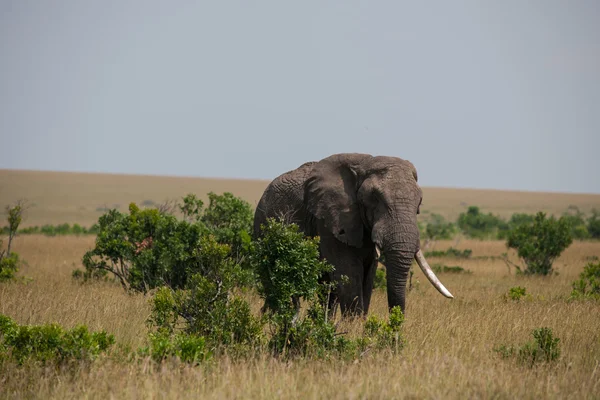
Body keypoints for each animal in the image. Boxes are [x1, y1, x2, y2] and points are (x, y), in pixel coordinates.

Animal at [251, 152, 452, 316]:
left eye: (419, 202)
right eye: (375, 198)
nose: (396, 334)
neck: (365, 164)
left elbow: (368, 277)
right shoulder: (329, 220)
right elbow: (349, 273)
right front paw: (353, 330)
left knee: (327, 291)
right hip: (263, 227)